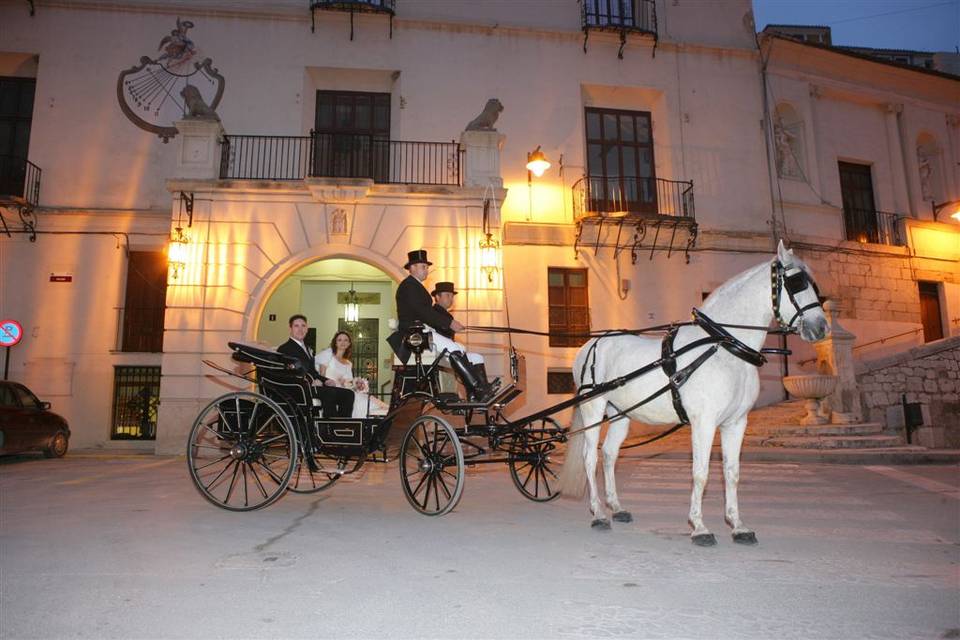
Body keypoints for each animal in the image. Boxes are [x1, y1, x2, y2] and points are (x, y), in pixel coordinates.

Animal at [560, 240, 828, 544]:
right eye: (796, 282)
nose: (821, 327)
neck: (724, 347)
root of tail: (591, 344)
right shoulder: (704, 422)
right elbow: (700, 473)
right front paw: (699, 527)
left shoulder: (736, 423)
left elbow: (731, 473)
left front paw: (737, 525)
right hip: (593, 408)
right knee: (590, 457)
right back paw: (598, 514)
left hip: (620, 414)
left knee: (608, 456)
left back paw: (616, 507)